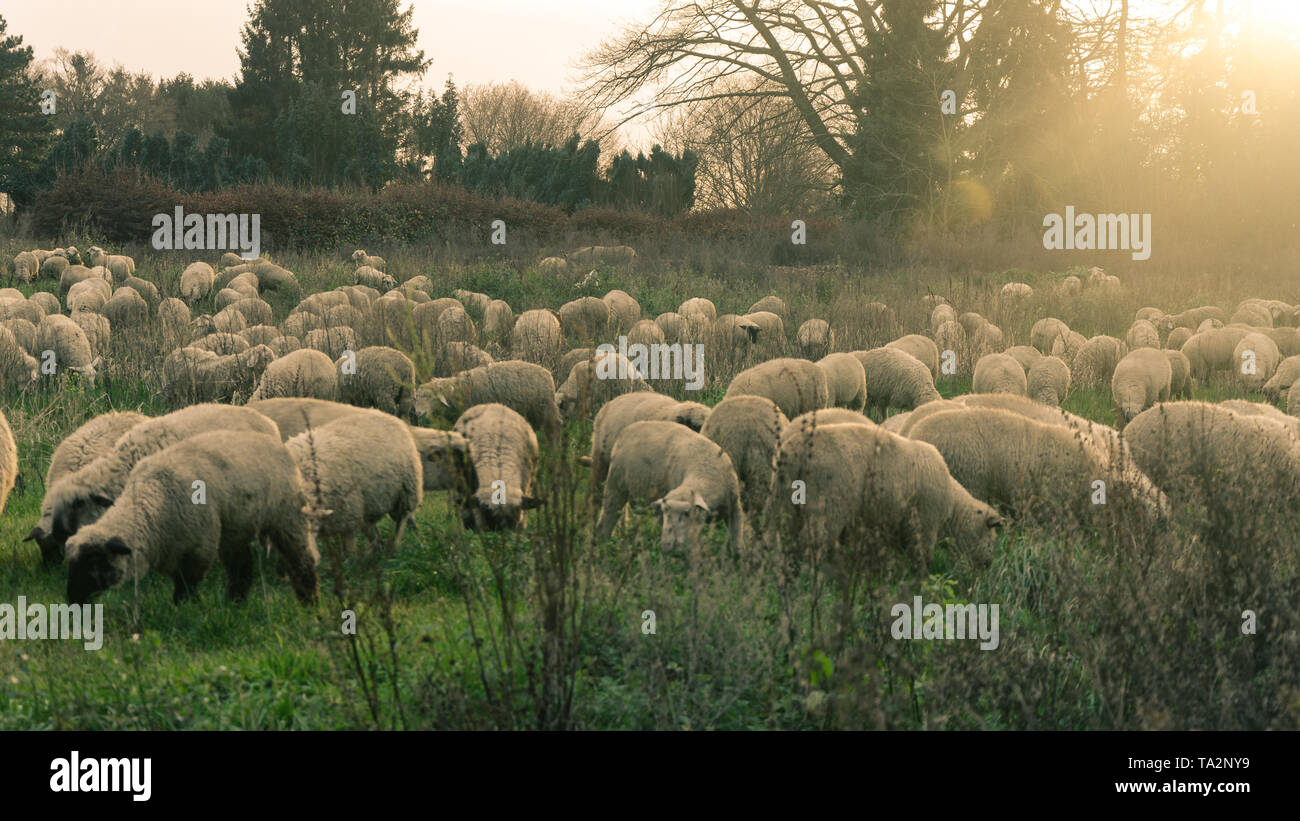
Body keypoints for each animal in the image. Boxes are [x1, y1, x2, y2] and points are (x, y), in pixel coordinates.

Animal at [65, 433, 319, 605]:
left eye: (94, 562)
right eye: (71, 564)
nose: (73, 600)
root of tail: (279, 444)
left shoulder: (197, 550)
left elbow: (185, 588)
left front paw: (185, 610)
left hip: (286, 517)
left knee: (301, 560)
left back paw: (309, 603)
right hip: (235, 526)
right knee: (241, 567)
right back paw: (235, 603)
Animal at [287, 410, 423, 550]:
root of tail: (385, 414)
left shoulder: (349, 516)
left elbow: (349, 549)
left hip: (406, 493)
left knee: (402, 521)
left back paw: (398, 546)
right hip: (371, 505)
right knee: (376, 534)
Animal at [595, 423, 743, 550]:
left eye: (687, 513)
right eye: (666, 513)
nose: (667, 546)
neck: (705, 469)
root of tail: (626, 431)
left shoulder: (734, 509)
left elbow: (737, 544)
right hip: (616, 486)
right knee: (607, 520)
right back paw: (602, 546)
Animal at [759, 420, 1003, 566]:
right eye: (992, 537)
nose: (988, 565)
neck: (953, 506)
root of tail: (794, 451)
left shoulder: (894, 523)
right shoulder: (926, 523)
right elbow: (923, 556)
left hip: (781, 497)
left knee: (775, 535)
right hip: (829, 504)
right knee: (813, 540)